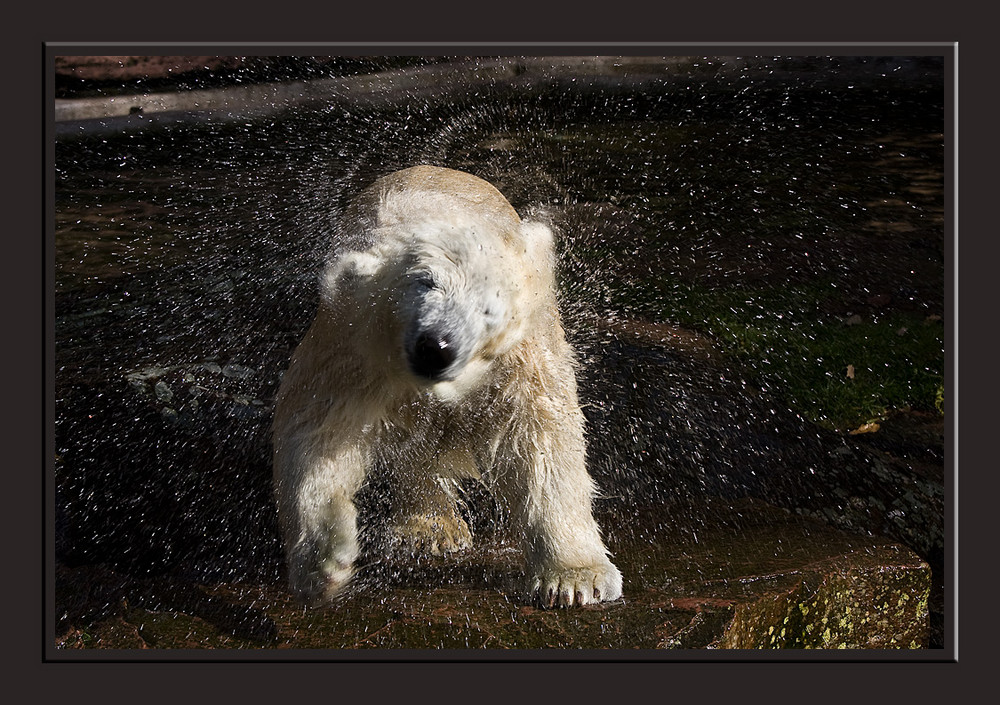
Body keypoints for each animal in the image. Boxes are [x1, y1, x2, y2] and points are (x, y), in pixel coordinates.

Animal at [270, 164, 620, 604]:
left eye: (489, 306)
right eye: (425, 282)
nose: (436, 347)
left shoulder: (521, 354)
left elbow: (540, 438)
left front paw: (576, 578)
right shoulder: (354, 339)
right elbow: (319, 432)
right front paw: (325, 561)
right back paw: (427, 529)